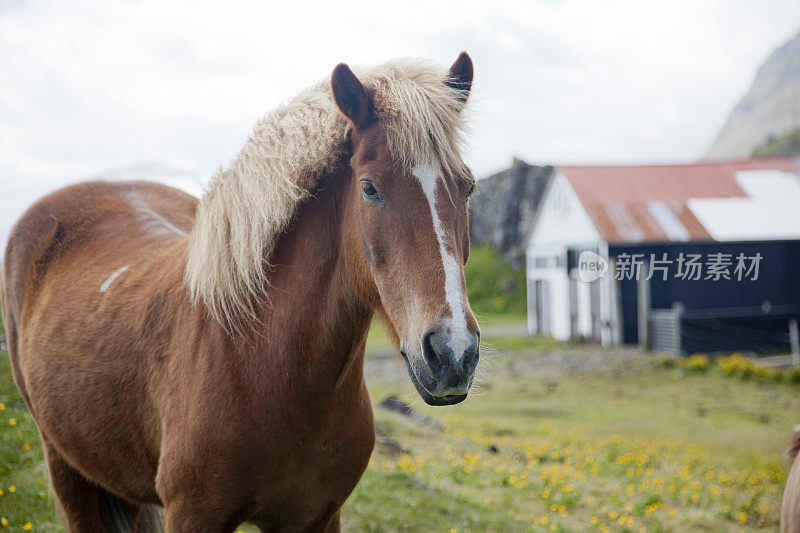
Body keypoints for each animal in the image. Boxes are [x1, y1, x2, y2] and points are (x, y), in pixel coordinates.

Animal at [1, 55, 482, 532]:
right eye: (369, 187)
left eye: (468, 186)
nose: (453, 353)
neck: (260, 360)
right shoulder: (193, 515)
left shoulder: (318, 518)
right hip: (68, 471)